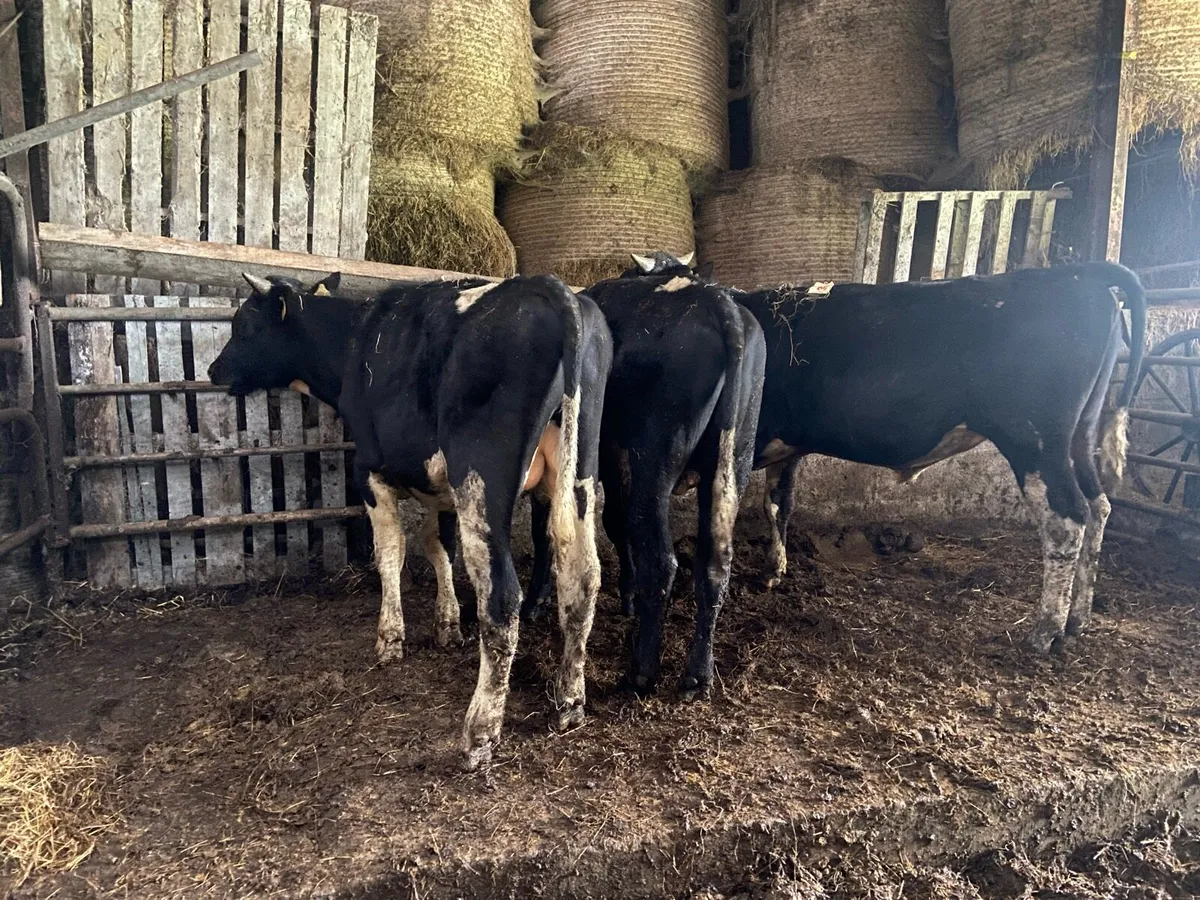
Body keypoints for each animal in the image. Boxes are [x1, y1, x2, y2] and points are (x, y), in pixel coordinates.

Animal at [207, 271, 612, 769]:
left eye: (244, 325)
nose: (214, 370)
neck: (354, 342)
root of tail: (554, 289)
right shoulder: (439, 491)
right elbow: (439, 549)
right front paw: (447, 625)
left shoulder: (371, 473)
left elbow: (391, 554)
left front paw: (390, 639)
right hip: (576, 476)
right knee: (581, 581)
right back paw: (569, 702)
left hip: (480, 476)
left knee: (501, 597)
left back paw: (480, 732)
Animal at [525, 252, 767, 697]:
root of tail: (717, 302)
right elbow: (615, 525)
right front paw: (628, 596)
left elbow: (557, 527)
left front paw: (539, 600)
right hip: (732, 465)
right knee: (714, 563)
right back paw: (697, 674)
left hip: (651, 467)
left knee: (662, 561)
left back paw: (641, 670)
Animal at [736, 262, 1146, 653]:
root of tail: (1075, 272)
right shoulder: (785, 449)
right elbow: (778, 505)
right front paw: (774, 569)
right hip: (1080, 436)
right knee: (1098, 507)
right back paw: (1078, 620)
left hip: (1034, 441)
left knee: (1067, 519)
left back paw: (1045, 631)